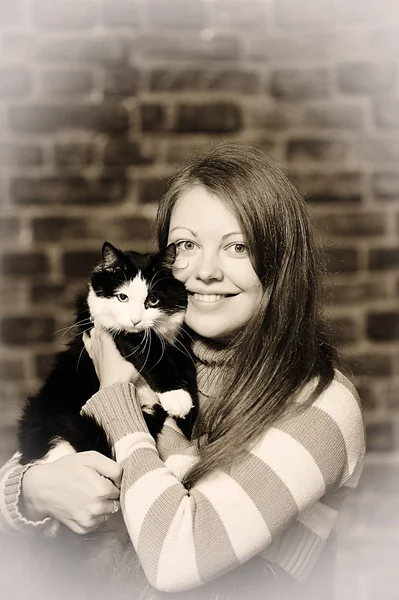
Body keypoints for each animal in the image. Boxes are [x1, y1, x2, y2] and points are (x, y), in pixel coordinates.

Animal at [17, 241, 198, 466]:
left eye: (153, 300)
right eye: (122, 297)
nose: (136, 320)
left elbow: (184, 361)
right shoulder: (103, 322)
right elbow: (151, 352)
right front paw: (177, 396)